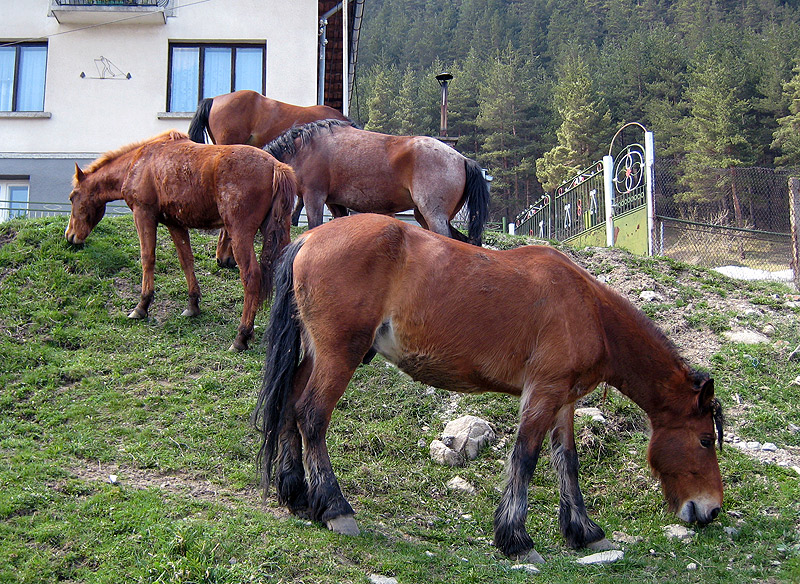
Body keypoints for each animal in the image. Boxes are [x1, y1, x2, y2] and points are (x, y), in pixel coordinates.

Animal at [65, 131, 296, 352]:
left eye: (72, 197)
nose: (70, 236)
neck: (139, 162)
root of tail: (276, 167)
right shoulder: (175, 224)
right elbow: (186, 261)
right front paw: (193, 305)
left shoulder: (143, 214)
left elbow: (147, 258)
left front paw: (142, 305)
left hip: (240, 234)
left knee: (251, 277)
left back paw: (241, 336)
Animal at [255, 213, 724, 560]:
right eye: (705, 440)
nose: (712, 510)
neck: (588, 309)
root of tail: (309, 238)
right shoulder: (543, 393)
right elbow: (526, 458)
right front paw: (516, 539)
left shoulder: (564, 401)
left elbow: (567, 462)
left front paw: (584, 531)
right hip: (340, 354)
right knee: (312, 415)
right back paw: (335, 507)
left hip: (315, 354)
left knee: (289, 407)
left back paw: (297, 496)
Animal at [264, 118, 488, 246]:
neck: (304, 149)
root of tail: (462, 159)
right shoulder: (334, 203)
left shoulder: (314, 197)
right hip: (425, 216)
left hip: (434, 216)